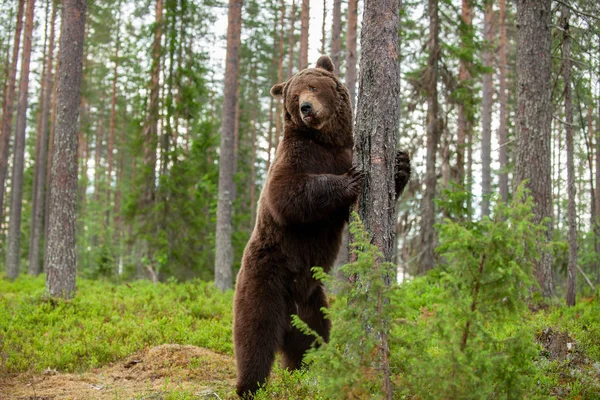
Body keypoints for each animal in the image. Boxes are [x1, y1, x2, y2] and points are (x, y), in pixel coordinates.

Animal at [232, 55, 410, 396]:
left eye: (313, 86)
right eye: (294, 95)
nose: (306, 108)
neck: (327, 140)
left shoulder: (342, 150)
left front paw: (402, 163)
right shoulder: (296, 156)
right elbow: (286, 192)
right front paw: (351, 179)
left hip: (314, 302)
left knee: (313, 338)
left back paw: (310, 372)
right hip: (265, 277)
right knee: (255, 334)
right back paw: (249, 385)